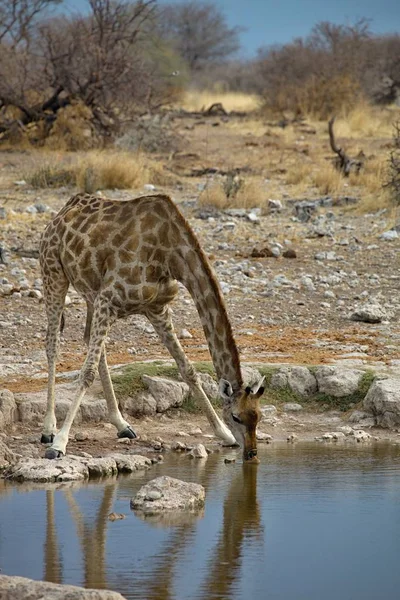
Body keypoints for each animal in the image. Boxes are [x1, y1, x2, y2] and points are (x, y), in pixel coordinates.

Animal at [38, 192, 266, 460]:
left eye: (258, 417)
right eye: (236, 417)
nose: (251, 453)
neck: (171, 255)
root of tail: (61, 212)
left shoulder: (156, 309)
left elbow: (188, 369)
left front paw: (223, 434)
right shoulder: (109, 299)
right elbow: (87, 373)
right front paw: (59, 444)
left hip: (91, 291)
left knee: (90, 340)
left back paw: (122, 425)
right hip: (53, 273)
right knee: (53, 342)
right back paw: (49, 430)